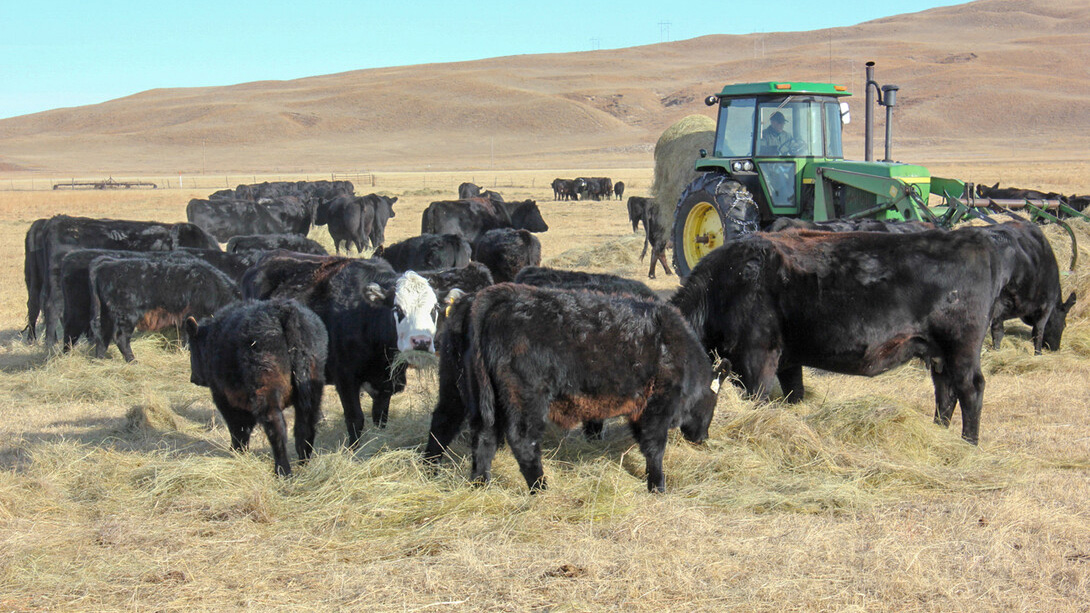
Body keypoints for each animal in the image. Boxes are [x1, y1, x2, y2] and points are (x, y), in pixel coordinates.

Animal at [88, 256, 240, 362]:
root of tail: (107, 264)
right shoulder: (193, 316)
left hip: (104, 314)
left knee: (101, 334)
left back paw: (99, 360)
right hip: (126, 316)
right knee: (120, 337)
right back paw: (133, 361)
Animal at [185, 299, 327, 477]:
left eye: (191, 348)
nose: (193, 378)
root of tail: (285, 311)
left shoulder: (225, 398)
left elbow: (238, 427)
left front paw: (237, 451)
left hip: (266, 390)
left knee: (276, 427)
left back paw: (282, 470)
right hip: (313, 390)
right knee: (305, 427)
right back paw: (304, 464)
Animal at [423, 283, 718, 493]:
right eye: (714, 402)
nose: (703, 438)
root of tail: (485, 298)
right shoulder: (657, 405)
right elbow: (654, 448)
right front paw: (657, 486)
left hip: (457, 388)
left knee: (455, 427)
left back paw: (463, 479)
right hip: (526, 398)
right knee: (521, 440)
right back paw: (540, 488)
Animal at [669, 229, 1012, 444]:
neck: (725, 285)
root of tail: (975, 239)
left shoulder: (756, 358)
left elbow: (759, 399)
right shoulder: (787, 361)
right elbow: (794, 394)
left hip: (961, 348)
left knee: (970, 389)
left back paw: (969, 443)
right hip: (938, 353)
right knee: (945, 392)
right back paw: (939, 432)